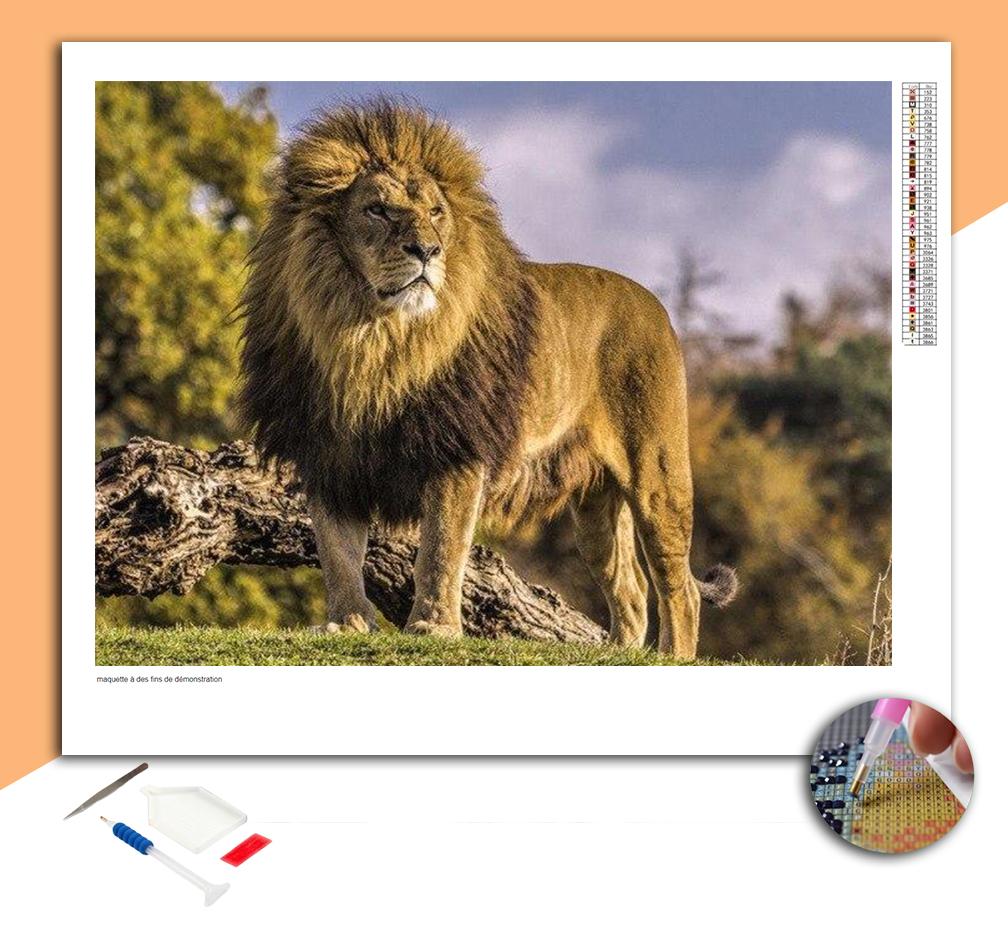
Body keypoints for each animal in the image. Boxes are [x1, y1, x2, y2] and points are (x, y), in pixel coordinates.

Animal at [238, 101, 737, 659]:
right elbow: (338, 551)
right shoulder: (328, 455)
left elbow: (441, 548)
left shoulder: (457, 449)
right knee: (630, 589)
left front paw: (433, 627)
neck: (371, 341)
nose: (427, 250)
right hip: (595, 507)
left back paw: (673, 658)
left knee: (680, 587)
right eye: (378, 210)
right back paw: (618, 655)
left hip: (657, 475)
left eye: (436, 212)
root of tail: (657, 308)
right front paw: (345, 623)